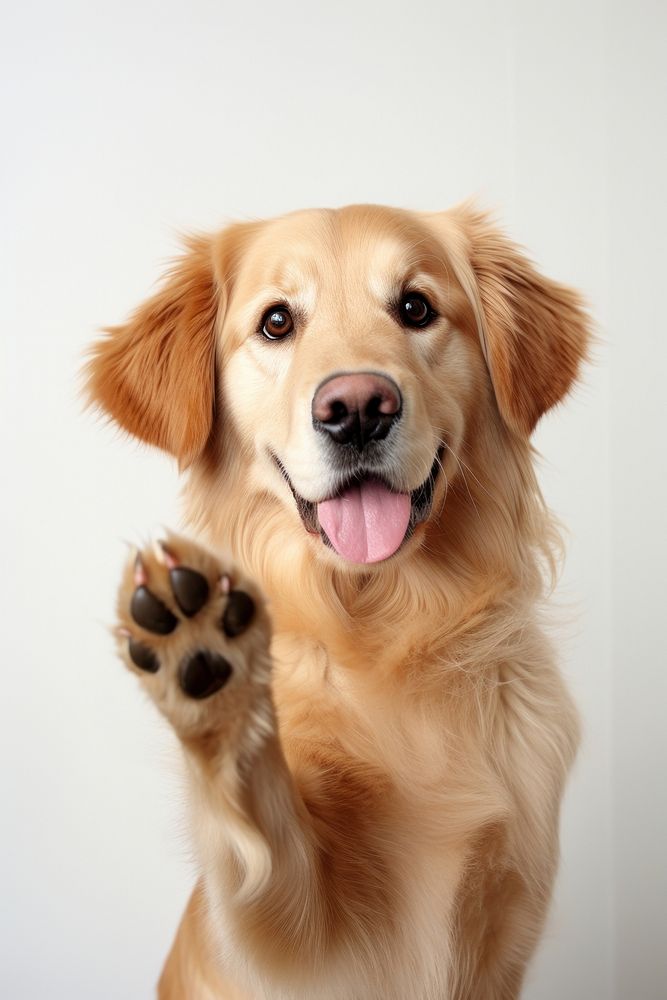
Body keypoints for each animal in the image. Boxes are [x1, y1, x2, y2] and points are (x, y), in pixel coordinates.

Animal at [86, 205, 592, 1000]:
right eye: (276, 322)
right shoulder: (292, 943)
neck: (384, 623)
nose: (356, 409)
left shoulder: (509, 903)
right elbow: (262, 833)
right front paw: (213, 674)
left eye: (415, 307)